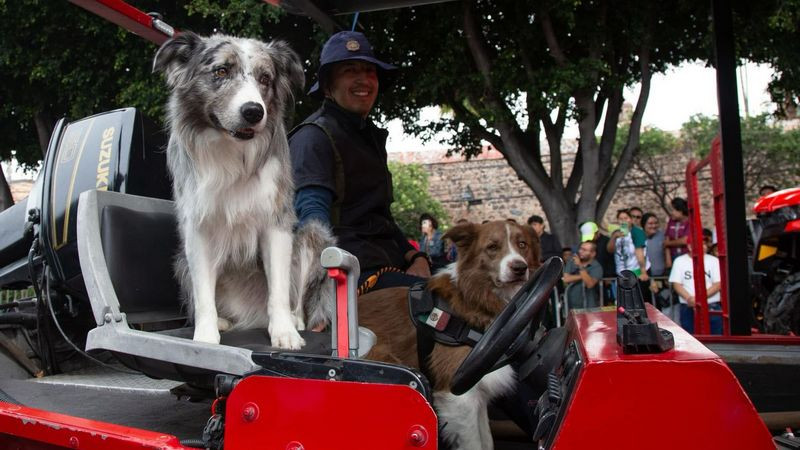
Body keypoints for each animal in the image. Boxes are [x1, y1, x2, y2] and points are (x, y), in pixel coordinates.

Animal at [358, 220, 540, 448]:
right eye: (492, 247)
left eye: (522, 244)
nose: (519, 268)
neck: (474, 296)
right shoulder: (456, 394)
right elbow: (475, 443)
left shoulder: (476, 383)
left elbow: (486, 440)